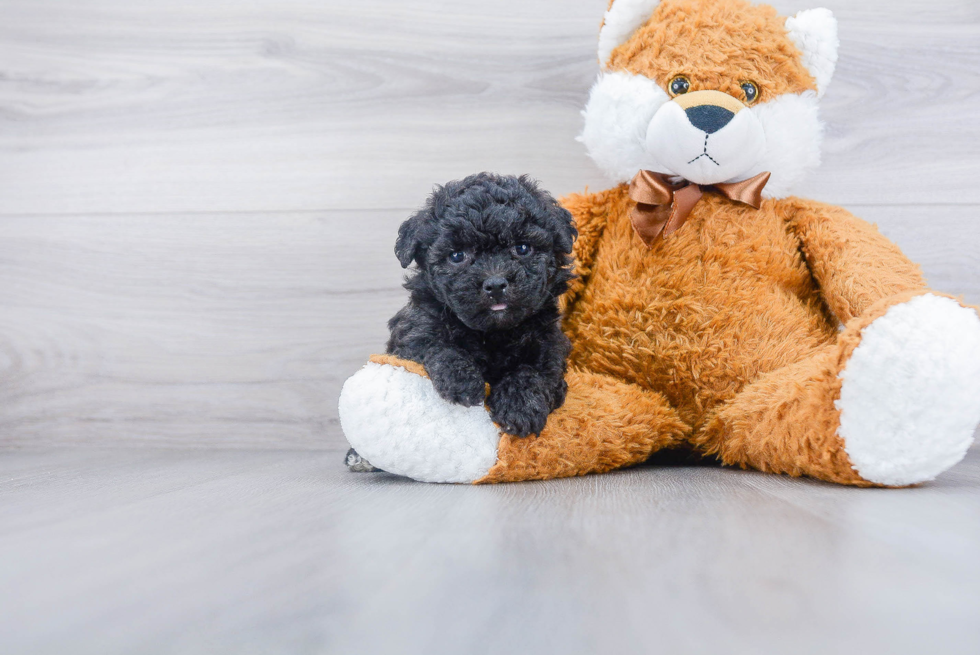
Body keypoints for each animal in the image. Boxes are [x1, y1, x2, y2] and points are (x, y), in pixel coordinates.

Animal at [388, 172, 580, 438]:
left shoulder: (550, 342)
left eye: (522, 248)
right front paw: (462, 380)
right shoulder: (414, 329)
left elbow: (536, 371)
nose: (496, 284)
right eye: (457, 256)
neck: (492, 334)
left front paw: (520, 406)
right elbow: (435, 345)